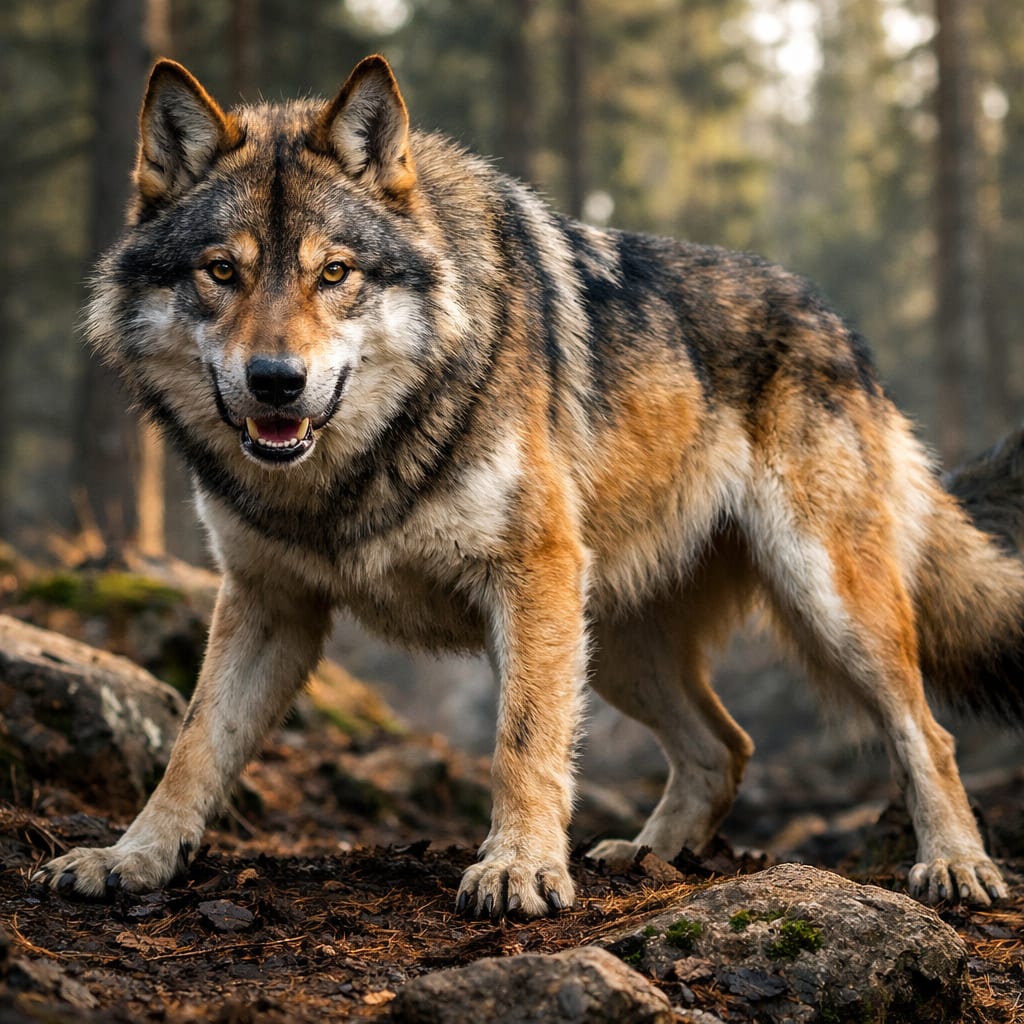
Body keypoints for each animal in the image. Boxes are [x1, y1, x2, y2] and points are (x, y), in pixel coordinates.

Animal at [36, 54, 1023, 917]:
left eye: (334, 273)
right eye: (221, 272)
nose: (276, 381)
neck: (345, 478)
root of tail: (842, 329)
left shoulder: (533, 572)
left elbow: (522, 741)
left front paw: (517, 869)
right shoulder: (267, 600)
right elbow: (194, 745)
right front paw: (132, 857)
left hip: (821, 601)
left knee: (923, 731)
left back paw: (956, 866)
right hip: (615, 640)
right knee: (725, 746)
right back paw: (650, 857)